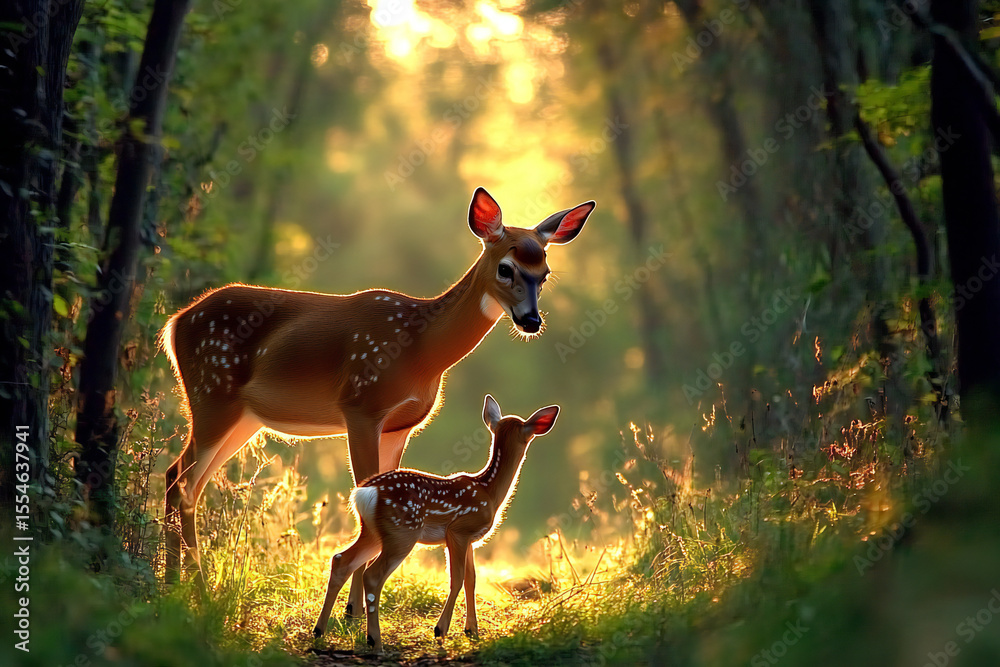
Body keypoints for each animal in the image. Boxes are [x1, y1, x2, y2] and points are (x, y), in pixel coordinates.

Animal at [160, 187, 594, 614]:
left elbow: (379, 487)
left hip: (244, 418)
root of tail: (175, 322)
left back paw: (181, 586)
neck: (422, 349)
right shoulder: (361, 405)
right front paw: (352, 614)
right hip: (212, 394)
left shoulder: (401, 425)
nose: (531, 320)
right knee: (181, 480)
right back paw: (186, 590)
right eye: (506, 268)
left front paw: (353, 609)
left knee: (183, 480)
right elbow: (363, 489)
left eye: (544, 273)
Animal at [312, 394, 559, 652]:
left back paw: (319, 631)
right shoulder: (458, 530)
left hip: (373, 531)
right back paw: (375, 641)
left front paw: (472, 631)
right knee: (372, 575)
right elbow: (457, 578)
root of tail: (365, 493)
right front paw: (441, 630)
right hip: (402, 532)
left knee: (341, 560)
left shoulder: (471, 540)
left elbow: (471, 579)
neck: (488, 491)